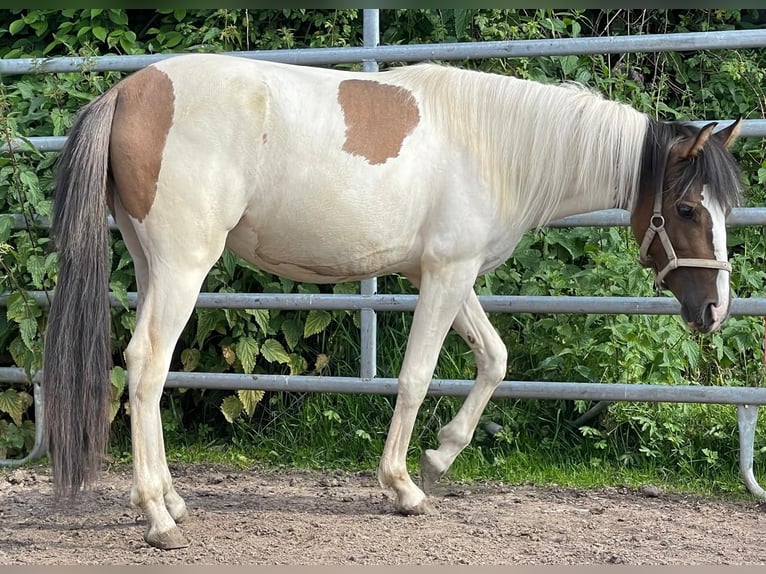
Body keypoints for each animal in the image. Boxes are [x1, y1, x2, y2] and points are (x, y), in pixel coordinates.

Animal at [42, 55, 744, 552]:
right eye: (687, 209)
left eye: (724, 207)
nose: (715, 310)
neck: (493, 144)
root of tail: (128, 92)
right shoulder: (445, 275)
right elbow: (415, 377)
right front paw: (404, 486)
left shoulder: (450, 275)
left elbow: (494, 360)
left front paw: (439, 456)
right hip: (185, 265)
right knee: (146, 366)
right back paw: (158, 518)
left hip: (150, 263)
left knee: (147, 370)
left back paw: (170, 501)